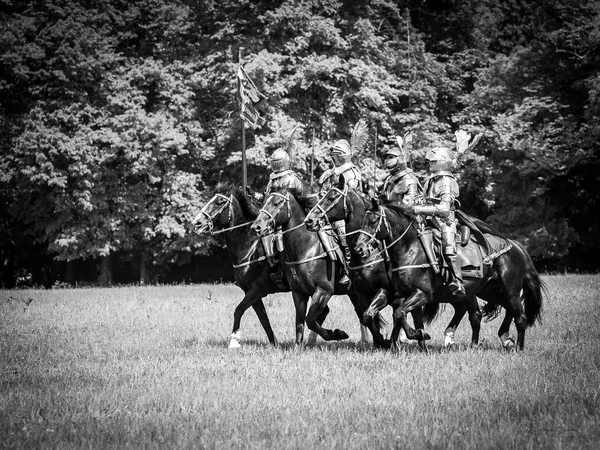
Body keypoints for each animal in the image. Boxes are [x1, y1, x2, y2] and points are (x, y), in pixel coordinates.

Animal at [193, 186, 322, 348]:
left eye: (220, 201)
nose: (197, 222)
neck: (249, 248)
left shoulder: (256, 290)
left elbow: (238, 310)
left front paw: (234, 341)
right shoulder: (251, 293)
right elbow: (263, 320)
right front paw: (274, 343)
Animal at [250, 188, 386, 346]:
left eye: (277, 203)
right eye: (264, 202)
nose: (256, 227)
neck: (307, 248)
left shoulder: (323, 291)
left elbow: (310, 320)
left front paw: (337, 334)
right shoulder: (299, 293)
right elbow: (300, 322)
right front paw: (298, 346)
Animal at [358, 200, 548, 352]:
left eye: (373, 221)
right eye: (363, 222)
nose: (360, 248)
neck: (410, 249)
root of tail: (514, 245)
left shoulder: (422, 294)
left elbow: (399, 314)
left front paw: (417, 335)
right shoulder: (392, 292)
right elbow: (369, 315)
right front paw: (392, 341)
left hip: (510, 289)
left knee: (520, 317)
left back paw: (518, 348)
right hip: (489, 290)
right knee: (497, 312)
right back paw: (494, 340)